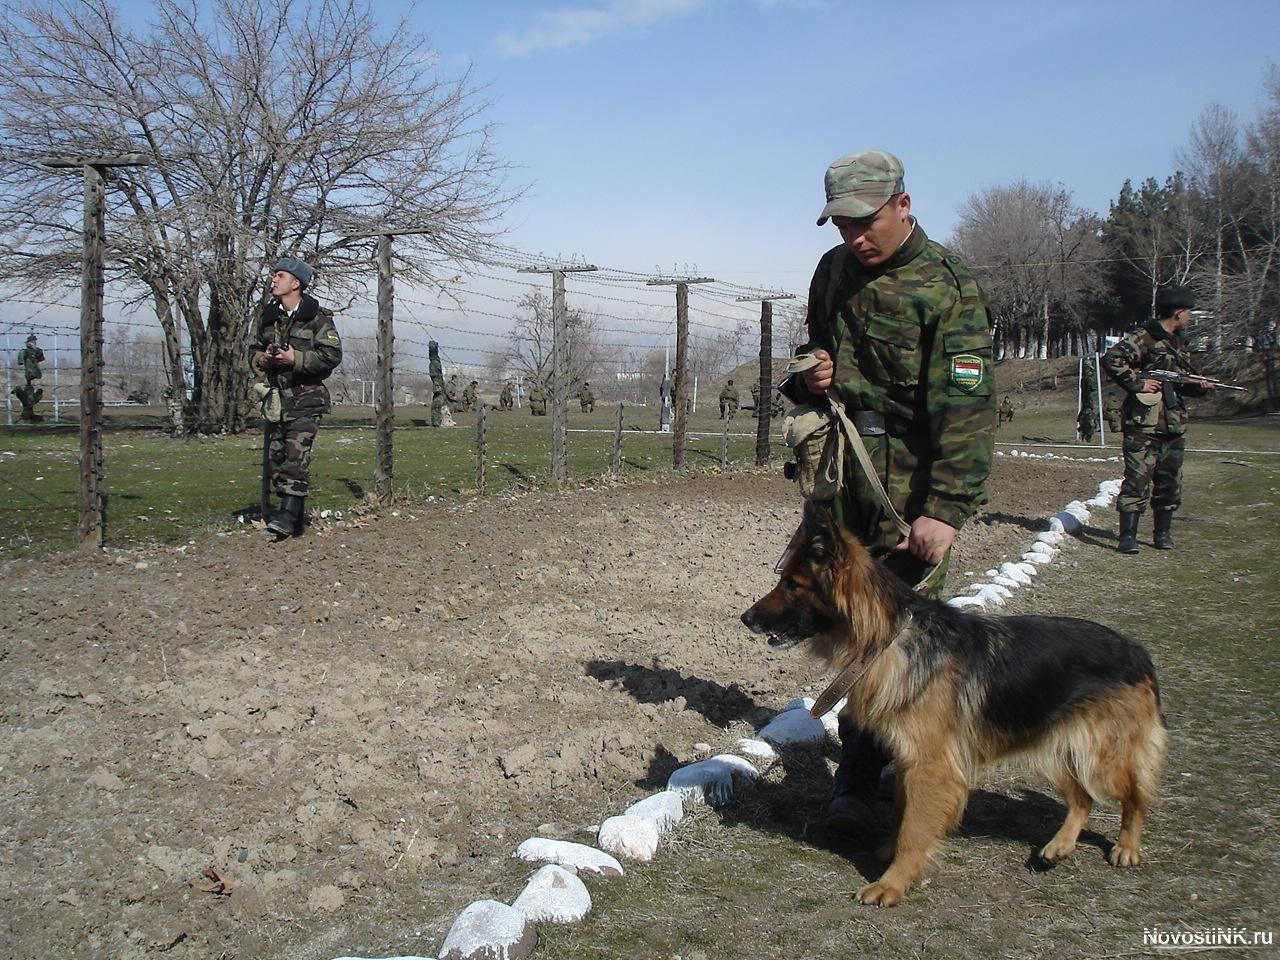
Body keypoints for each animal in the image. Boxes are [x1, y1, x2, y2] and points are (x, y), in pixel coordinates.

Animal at [742, 504, 1172, 911]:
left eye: (792, 584)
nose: (745, 618)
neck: (889, 637)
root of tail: (1137, 652)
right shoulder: (908, 760)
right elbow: (902, 817)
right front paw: (890, 855)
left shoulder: (929, 767)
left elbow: (914, 828)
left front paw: (892, 882)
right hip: (1057, 746)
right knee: (1082, 797)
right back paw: (1060, 845)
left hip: (1100, 755)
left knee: (1135, 794)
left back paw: (1128, 846)